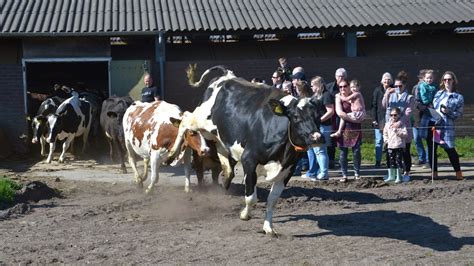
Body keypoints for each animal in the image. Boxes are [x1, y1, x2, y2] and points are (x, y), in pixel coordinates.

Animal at [171, 65, 326, 236]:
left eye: (318, 115)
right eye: (296, 117)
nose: (317, 137)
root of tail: (228, 75)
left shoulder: (287, 170)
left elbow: (272, 200)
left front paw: (268, 227)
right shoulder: (249, 159)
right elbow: (251, 197)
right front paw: (245, 215)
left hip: (220, 135)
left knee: (224, 157)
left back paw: (225, 178)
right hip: (200, 119)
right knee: (184, 120)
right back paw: (172, 153)